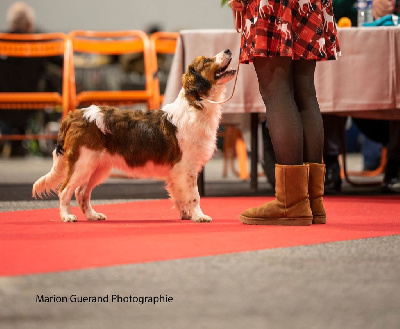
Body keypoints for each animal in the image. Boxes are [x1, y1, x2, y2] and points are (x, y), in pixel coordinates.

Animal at [33, 48, 238, 222]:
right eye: (206, 60)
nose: (228, 50)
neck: (195, 105)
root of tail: (75, 114)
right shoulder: (187, 168)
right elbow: (194, 195)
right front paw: (199, 216)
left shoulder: (178, 172)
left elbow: (180, 195)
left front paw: (186, 215)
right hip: (82, 163)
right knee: (65, 190)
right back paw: (67, 216)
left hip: (97, 167)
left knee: (81, 192)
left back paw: (92, 215)